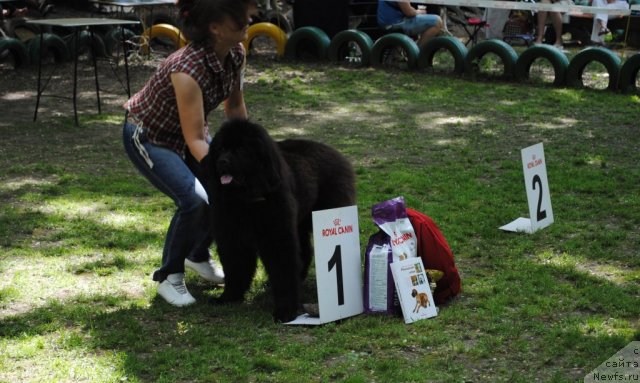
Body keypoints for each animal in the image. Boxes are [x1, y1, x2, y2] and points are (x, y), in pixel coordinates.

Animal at [201, 118, 356, 322]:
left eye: (241, 149)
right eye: (221, 148)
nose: (222, 161)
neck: (245, 200)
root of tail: (337, 154)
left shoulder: (276, 236)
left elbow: (282, 269)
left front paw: (285, 310)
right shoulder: (232, 236)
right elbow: (235, 267)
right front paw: (228, 297)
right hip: (299, 222)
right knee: (304, 252)